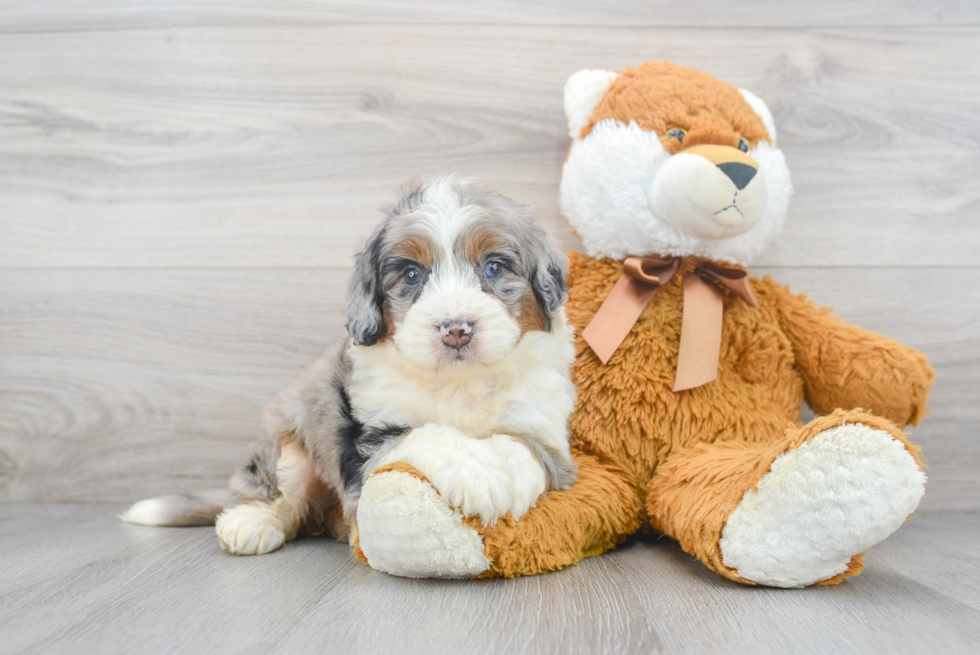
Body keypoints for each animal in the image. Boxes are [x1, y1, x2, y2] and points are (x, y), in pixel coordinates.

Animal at [125, 176, 580, 560]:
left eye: (494, 267)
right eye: (412, 274)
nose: (456, 329)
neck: (459, 382)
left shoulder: (548, 431)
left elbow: (523, 445)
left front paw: (499, 478)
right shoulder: (366, 436)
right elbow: (425, 433)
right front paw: (477, 473)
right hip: (290, 436)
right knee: (278, 492)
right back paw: (252, 520)